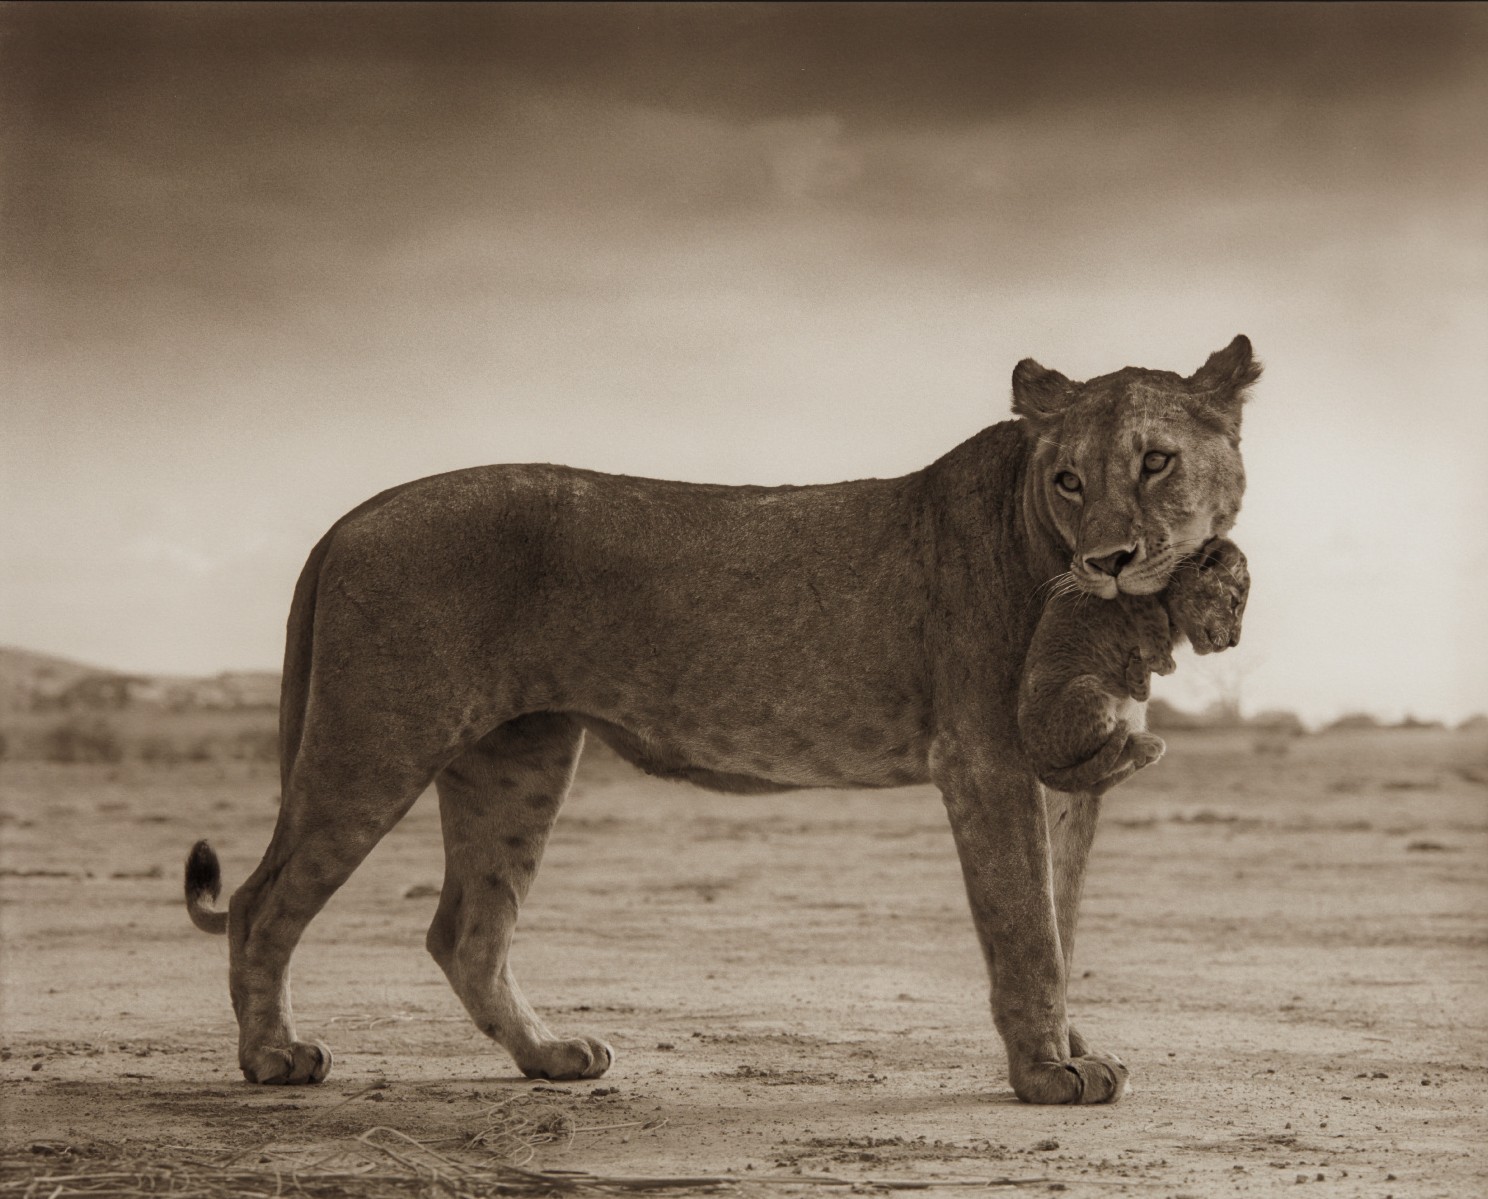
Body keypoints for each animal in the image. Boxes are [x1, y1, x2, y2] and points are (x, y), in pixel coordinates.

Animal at [1019, 539, 1250, 794]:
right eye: (1234, 602)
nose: (1234, 641)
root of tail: (1036, 762)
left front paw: (1140, 677)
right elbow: (1147, 612)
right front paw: (1159, 661)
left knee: (1097, 781)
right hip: (1087, 686)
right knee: (1101, 760)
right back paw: (1143, 744)